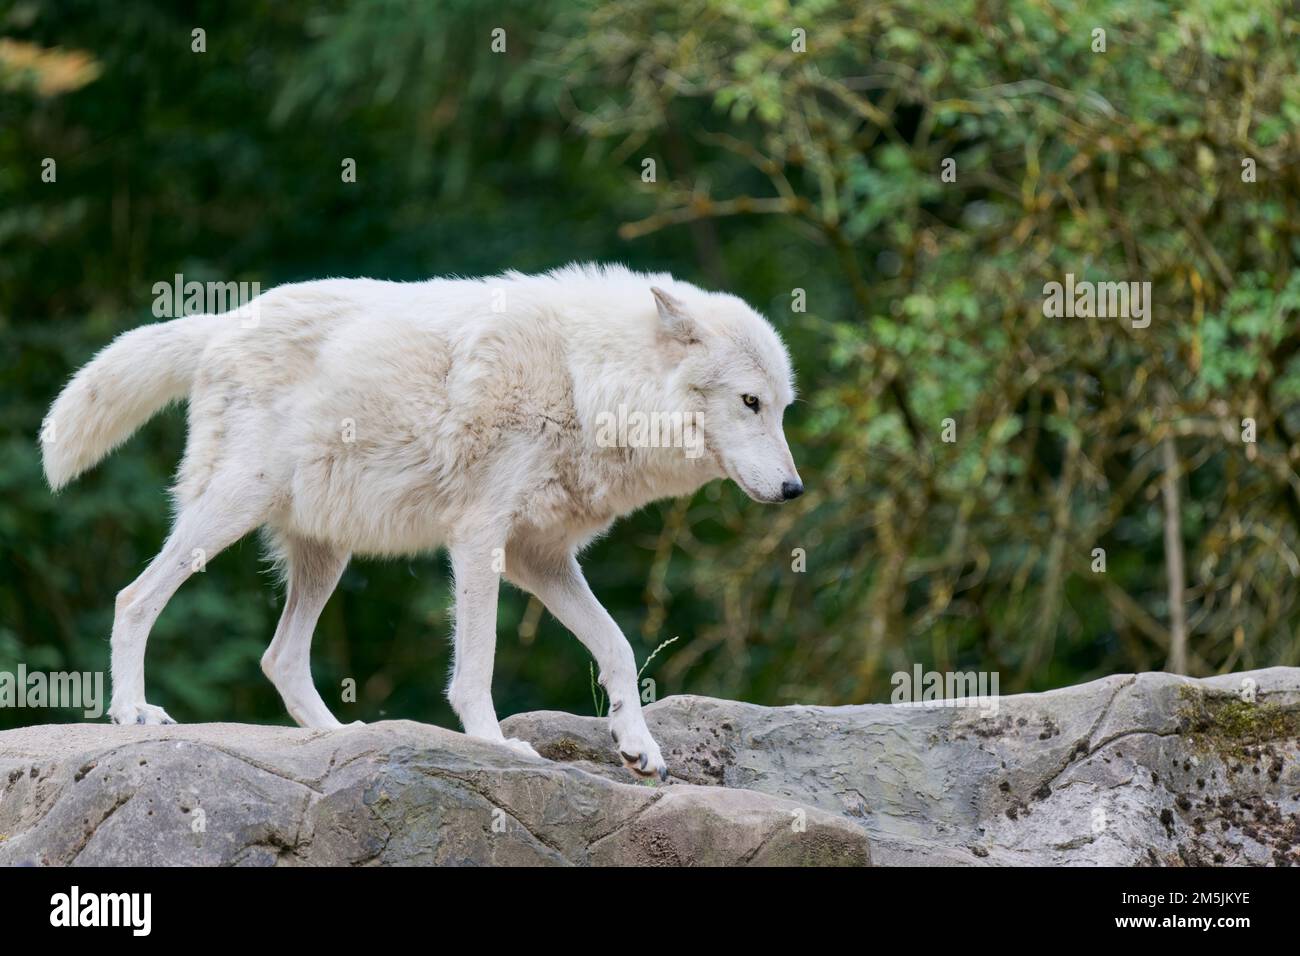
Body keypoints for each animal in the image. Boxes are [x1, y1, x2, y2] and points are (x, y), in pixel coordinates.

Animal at [40, 263, 802, 779]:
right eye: (750, 402)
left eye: (783, 407)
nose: (795, 489)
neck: (584, 380)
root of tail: (225, 323)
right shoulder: (480, 538)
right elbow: (479, 662)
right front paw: (494, 743)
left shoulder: (540, 558)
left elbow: (616, 644)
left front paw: (637, 746)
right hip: (232, 509)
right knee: (134, 598)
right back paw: (132, 712)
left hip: (326, 554)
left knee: (279, 657)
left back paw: (340, 737)